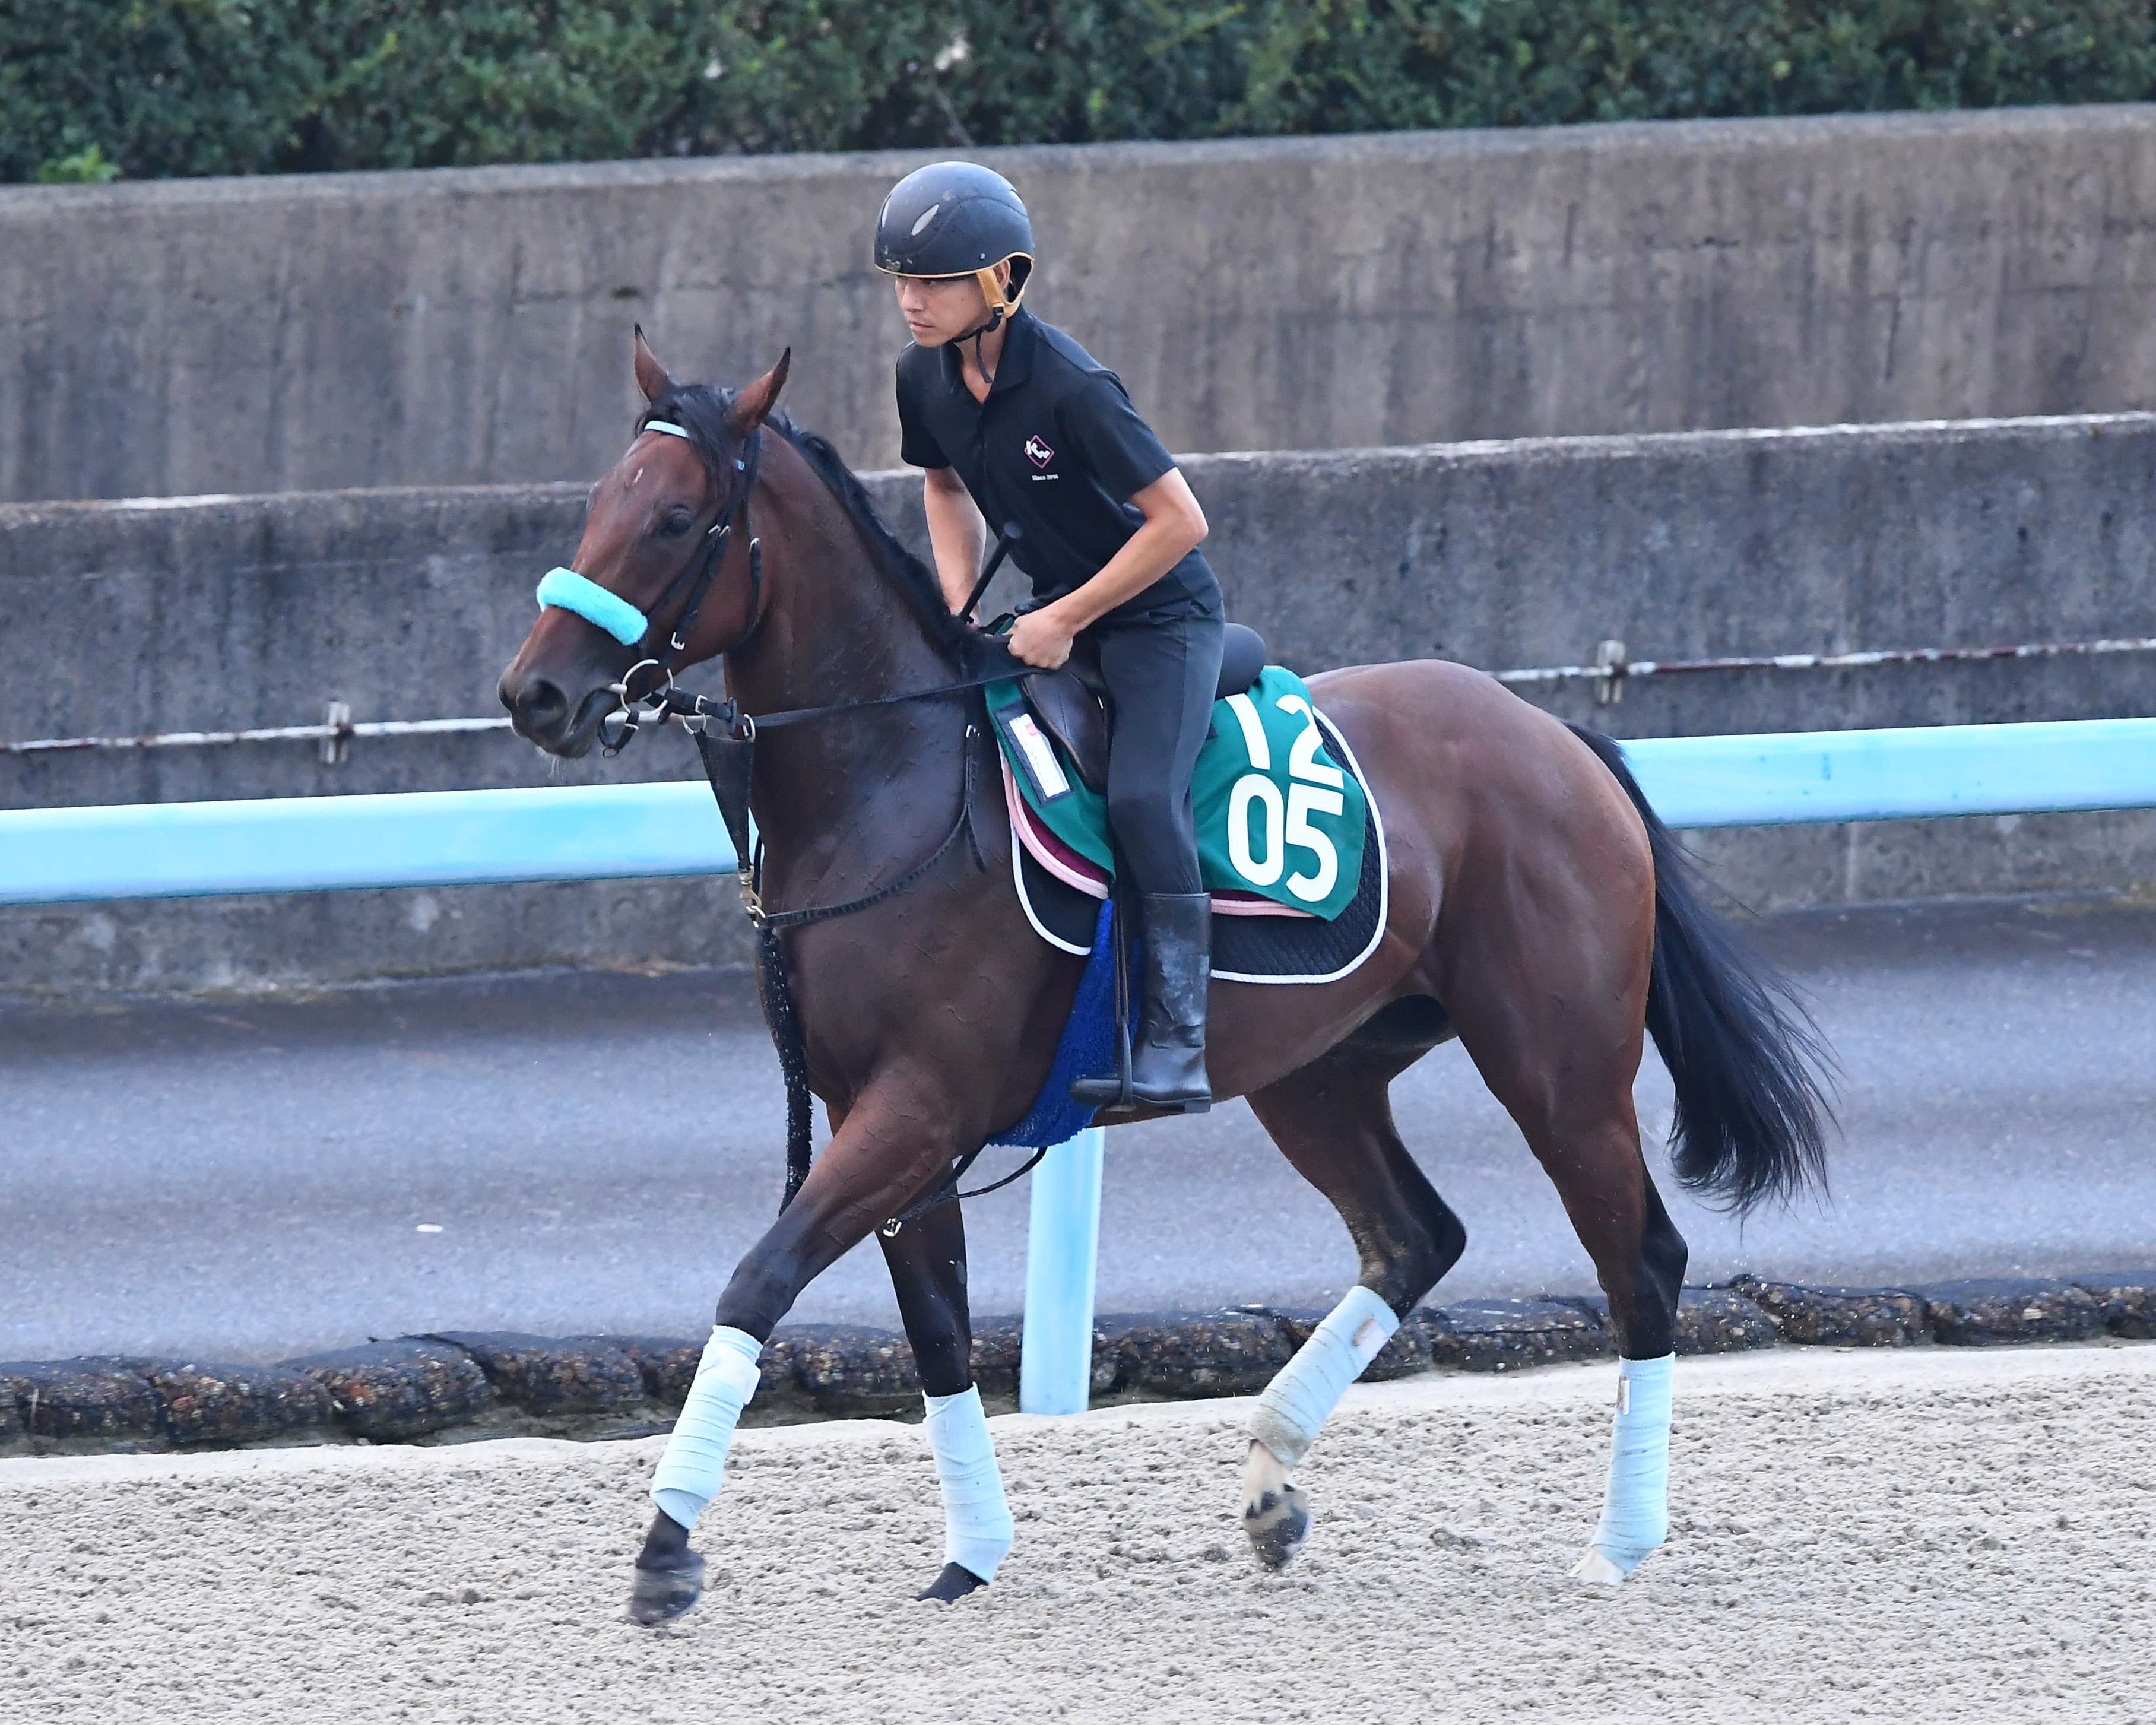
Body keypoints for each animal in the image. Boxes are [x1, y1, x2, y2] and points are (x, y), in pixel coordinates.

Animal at [496, 336, 1828, 1621]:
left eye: (675, 518)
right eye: (598, 504)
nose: (535, 693)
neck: (897, 778)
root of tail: (1559, 741)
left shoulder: (916, 1107)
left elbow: (759, 1280)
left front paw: (667, 1548)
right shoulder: (877, 1114)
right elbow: (936, 1334)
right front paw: (970, 1555)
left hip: (1558, 1067)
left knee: (1640, 1261)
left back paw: (1618, 1542)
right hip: (1321, 1071)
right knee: (1414, 1236)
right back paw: (1274, 1479)